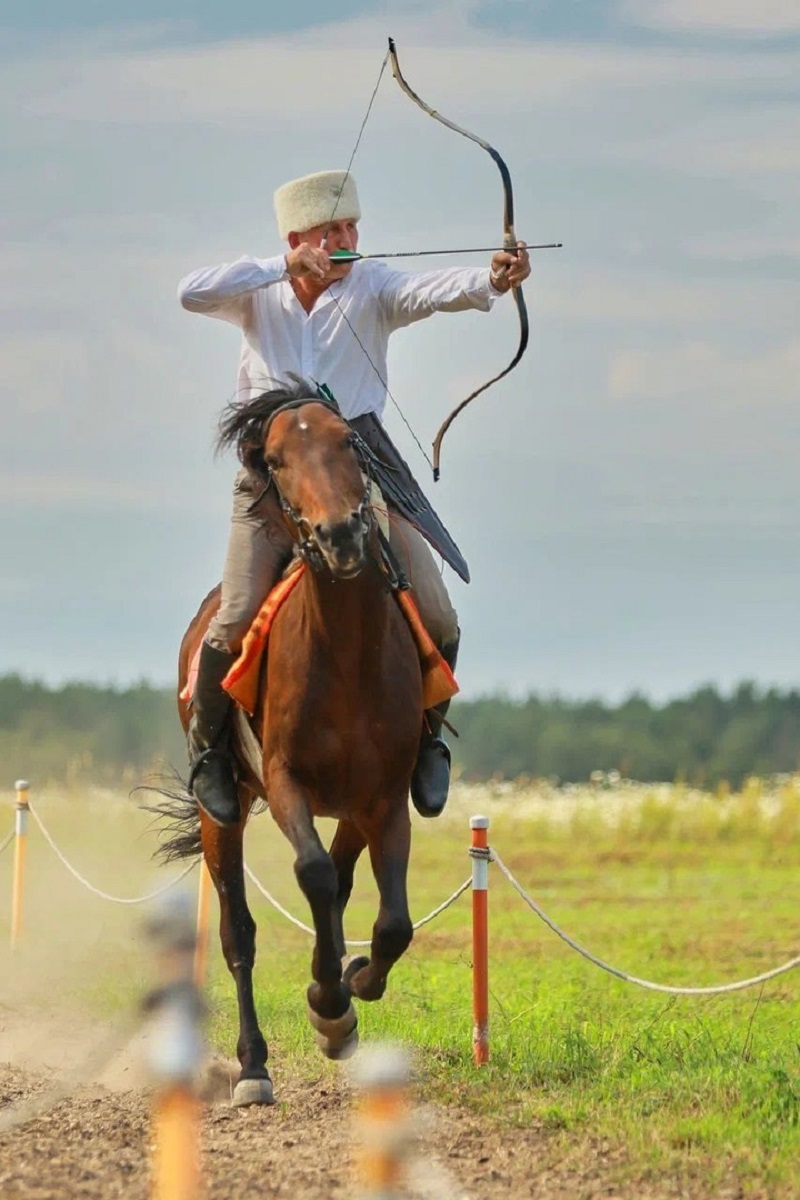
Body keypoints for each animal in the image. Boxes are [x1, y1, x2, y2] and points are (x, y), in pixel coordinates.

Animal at [166, 384, 424, 1104]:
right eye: (275, 461)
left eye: (347, 442)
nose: (340, 536)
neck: (346, 656)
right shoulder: (286, 783)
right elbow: (310, 874)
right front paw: (329, 1005)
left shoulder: (384, 797)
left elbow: (391, 922)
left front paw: (351, 986)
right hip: (222, 812)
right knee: (239, 934)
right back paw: (253, 1066)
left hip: (355, 808)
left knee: (340, 884)